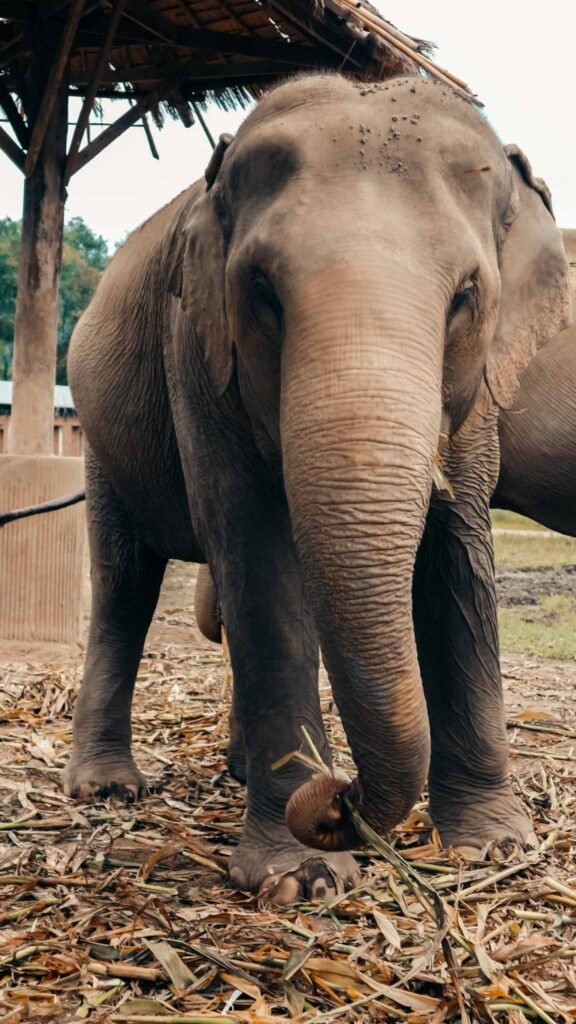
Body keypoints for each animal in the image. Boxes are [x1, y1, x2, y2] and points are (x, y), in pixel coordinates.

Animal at [63, 73, 572, 901]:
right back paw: (108, 788)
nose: (340, 802)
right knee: (124, 582)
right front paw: (298, 878)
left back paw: (240, 771)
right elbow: (255, 552)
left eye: (467, 293)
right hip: (99, 435)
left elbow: (459, 552)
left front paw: (492, 847)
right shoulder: (193, 349)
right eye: (261, 289)